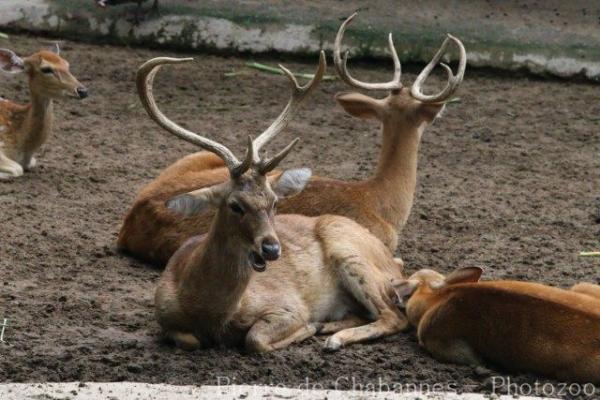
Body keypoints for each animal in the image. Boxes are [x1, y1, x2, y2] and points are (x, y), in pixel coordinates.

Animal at [139, 55, 408, 350]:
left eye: (275, 202)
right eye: (235, 205)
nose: (271, 248)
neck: (207, 312)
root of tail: (394, 266)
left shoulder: (288, 305)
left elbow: (255, 339)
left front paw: (309, 327)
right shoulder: (165, 316)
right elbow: (189, 340)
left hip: (351, 253)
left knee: (394, 316)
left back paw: (333, 337)